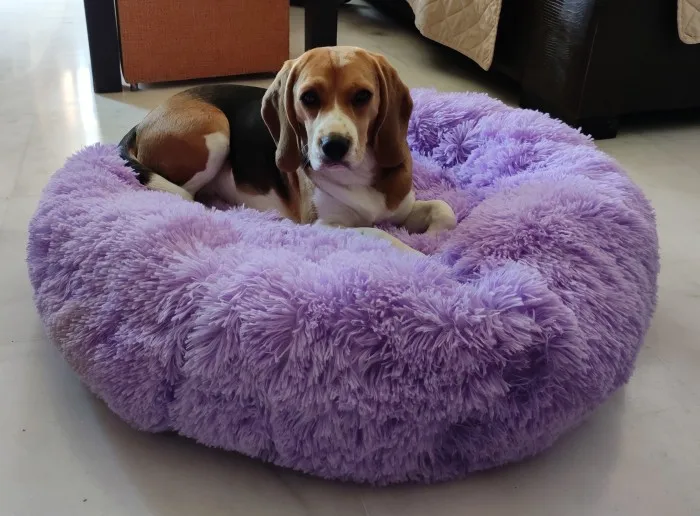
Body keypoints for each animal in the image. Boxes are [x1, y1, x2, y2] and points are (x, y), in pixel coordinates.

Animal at [119, 46, 456, 252]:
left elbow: (445, 210)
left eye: (363, 96)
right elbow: (384, 236)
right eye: (308, 97)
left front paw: (435, 239)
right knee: (186, 195)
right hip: (215, 131)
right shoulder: (325, 226)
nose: (333, 146)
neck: (358, 174)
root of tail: (146, 119)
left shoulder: (402, 207)